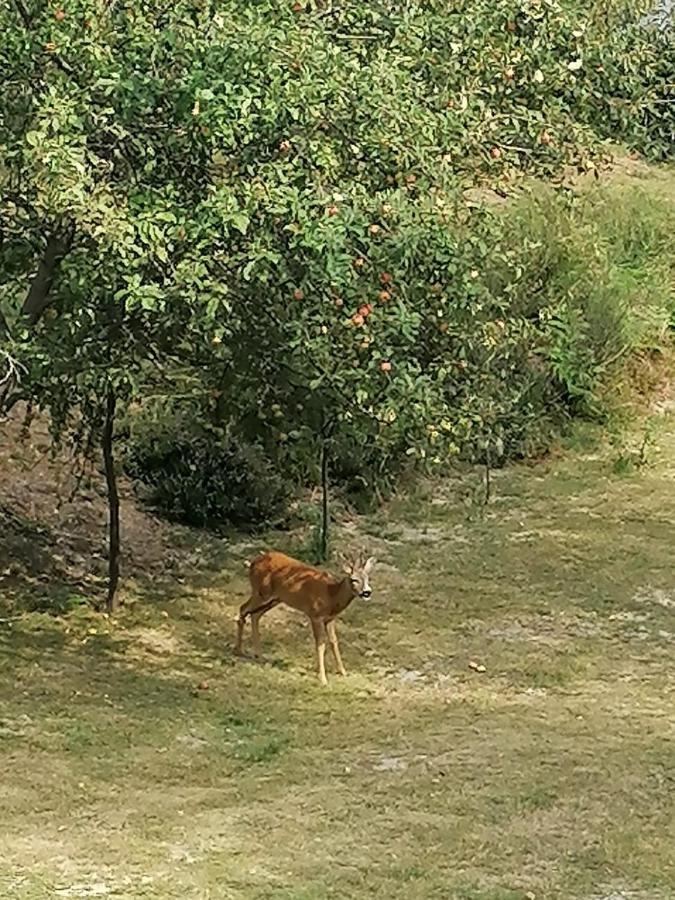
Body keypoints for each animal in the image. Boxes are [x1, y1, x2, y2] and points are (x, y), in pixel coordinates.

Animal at [235, 548, 378, 688]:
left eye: (368, 578)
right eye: (354, 579)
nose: (367, 592)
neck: (331, 596)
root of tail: (253, 563)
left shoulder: (330, 618)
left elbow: (333, 641)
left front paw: (343, 672)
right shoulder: (315, 615)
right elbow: (320, 644)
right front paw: (323, 679)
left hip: (274, 599)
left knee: (255, 615)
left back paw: (258, 654)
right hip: (261, 592)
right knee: (243, 609)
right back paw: (239, 650)